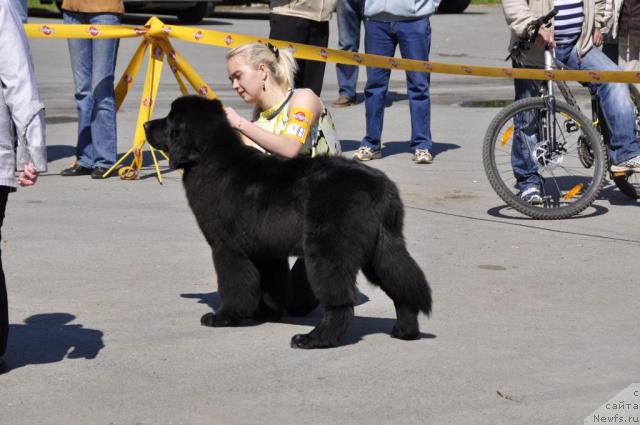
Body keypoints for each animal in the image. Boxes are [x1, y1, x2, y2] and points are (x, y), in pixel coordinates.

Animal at [146, 96, 430, 348]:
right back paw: (405, 331)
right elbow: (269, 284)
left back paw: (315, 339)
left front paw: (224, 317)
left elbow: (234, 285)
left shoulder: (226, 248)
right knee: (402, 285)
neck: (209, 158)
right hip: (381, 249)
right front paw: (265, 313)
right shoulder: (263, 249)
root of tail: (381, 187)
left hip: (327, 252)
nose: (146, 125)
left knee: (340, 302)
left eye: (171, 119)